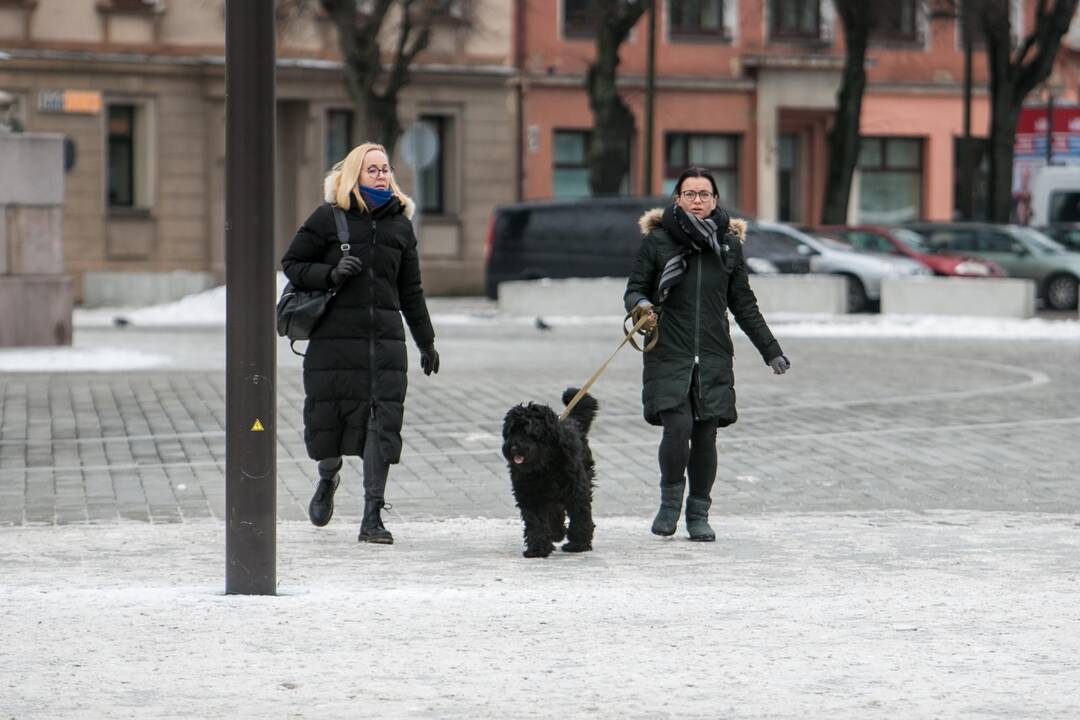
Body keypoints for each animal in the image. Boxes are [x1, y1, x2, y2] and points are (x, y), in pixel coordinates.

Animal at [498, 386, 600, 561]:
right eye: (511, 431)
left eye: (528, 431)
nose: (514, 447)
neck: (544, 464)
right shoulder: (529, 495)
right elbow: (535, 523)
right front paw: (537, 549)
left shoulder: (576, 491)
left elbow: (580, 515)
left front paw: (578, 544)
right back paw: (556, 532)